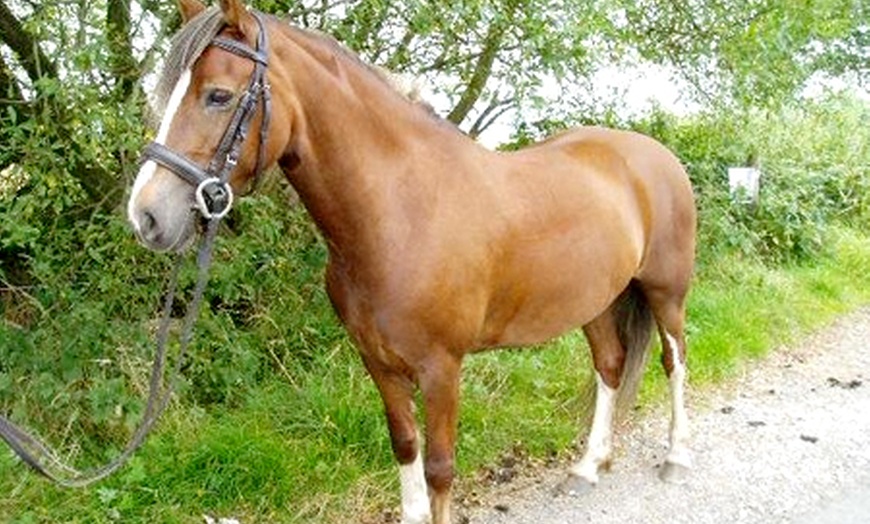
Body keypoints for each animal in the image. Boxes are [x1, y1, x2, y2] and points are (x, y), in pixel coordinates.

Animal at [129, 2, 700, 520]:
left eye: (218, 96)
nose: (146, 215)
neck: (402, 212)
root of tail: (655, 155)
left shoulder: (442, 368)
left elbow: (440, 468)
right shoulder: (378, 362)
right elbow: (405, 447)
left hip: (665, 293)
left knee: (674, 362)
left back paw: (676, 458)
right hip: (596, 301)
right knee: (610, 365)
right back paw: (586, 467)